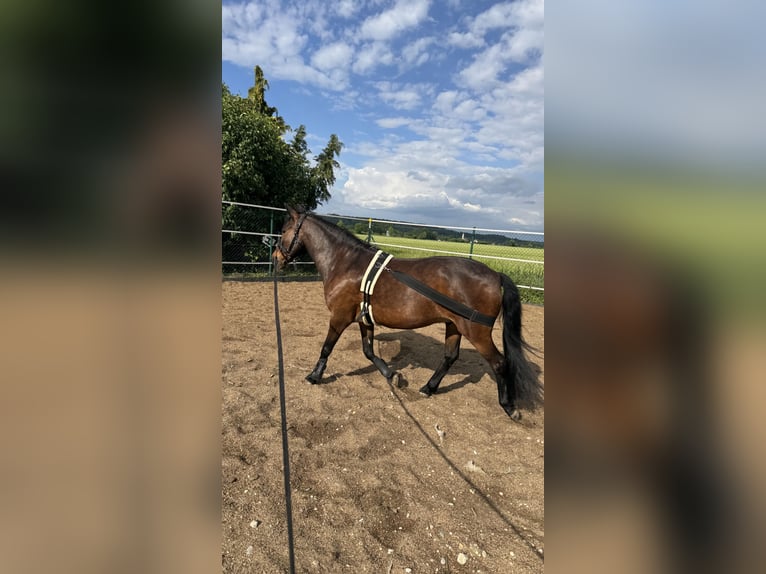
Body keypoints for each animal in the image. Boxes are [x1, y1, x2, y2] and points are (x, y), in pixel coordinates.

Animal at [272, 205, 543, 420]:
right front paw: (393, 376)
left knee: (499, 362)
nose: (275, 258)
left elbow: (327, 347)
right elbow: (369, 351)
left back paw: (509, 406)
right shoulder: (364, 319)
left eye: (284, 230)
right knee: (450, 357)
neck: (346, 263)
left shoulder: (339, 317)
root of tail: (495, 274)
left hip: (477, 332)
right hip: (454, 325)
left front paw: (314, 375)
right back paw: (429, 388)